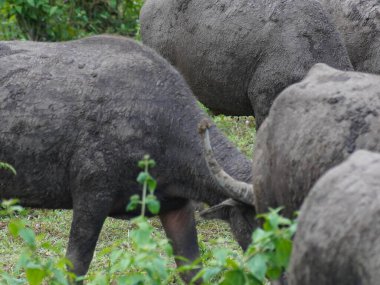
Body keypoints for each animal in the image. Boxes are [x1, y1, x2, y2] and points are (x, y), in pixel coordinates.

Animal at [0, 35, 255, 280]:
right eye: (257, 219)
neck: (162, 124)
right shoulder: (91, 200)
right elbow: (76, 265)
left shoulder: (177, 208)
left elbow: (192, 269)